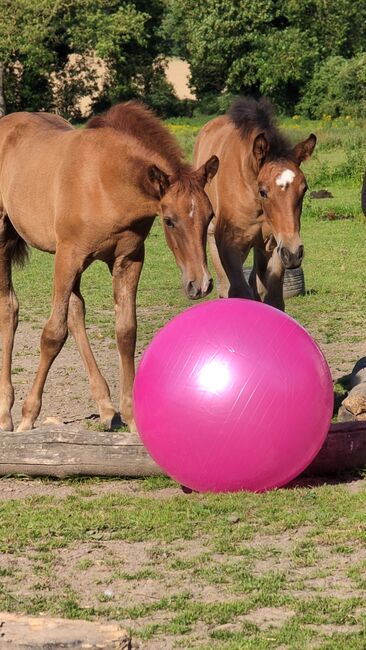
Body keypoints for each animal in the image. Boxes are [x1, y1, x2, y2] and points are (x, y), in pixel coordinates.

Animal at [0, 102, 217, 430]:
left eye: (210, 216)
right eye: (169, 220)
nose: (200, 284)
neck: (105, 181)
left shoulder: (128, 259)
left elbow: (126, 331)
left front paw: (131, 415)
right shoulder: (68, 255)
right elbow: (52, 334)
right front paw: (28, 416)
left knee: (76, 312)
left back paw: (104, 405)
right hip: (4, 236)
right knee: (10, 308)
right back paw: (6, 412)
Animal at [193, 96, 316, 308]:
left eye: (304, 188)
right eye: (263, 191)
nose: (294, 253)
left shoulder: (276, 244)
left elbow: (273, 299)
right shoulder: (231, 246)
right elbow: (239, 292)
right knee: (226, 285)